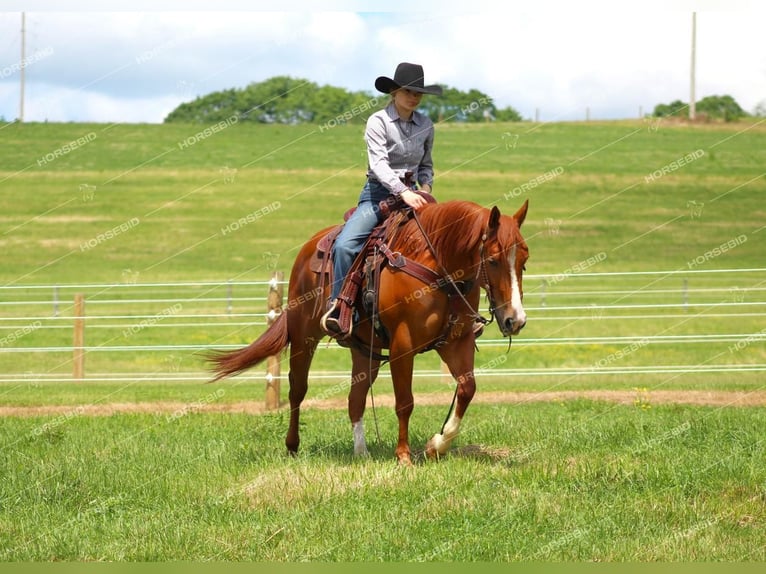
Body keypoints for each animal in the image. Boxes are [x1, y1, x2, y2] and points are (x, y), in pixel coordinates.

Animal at [207, 200, 532, 466]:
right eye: (493, 260)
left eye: (524, 262)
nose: (515, 319)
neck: (436, 267)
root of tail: (309, 247)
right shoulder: (403, 345)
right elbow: (405, 401)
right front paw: (403, 456)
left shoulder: (456, 342)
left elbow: (467, 389)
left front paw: (436, 446)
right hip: (303, 337)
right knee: (297, 389)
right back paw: (292, 446)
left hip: (365, 351)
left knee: (356, 396)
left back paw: (361, 453)